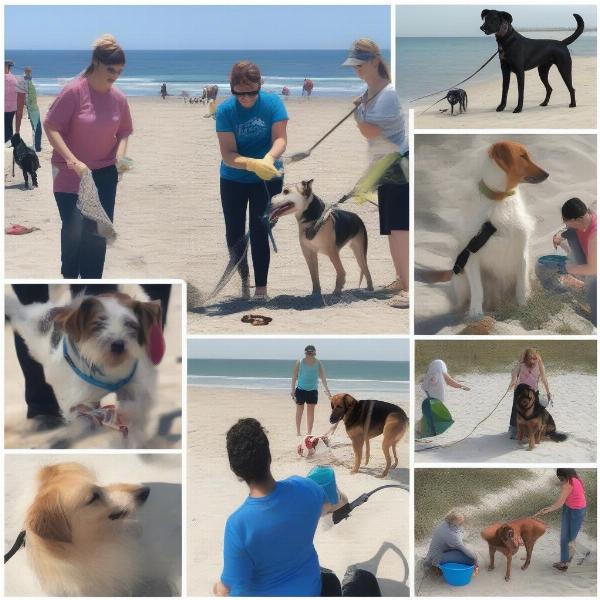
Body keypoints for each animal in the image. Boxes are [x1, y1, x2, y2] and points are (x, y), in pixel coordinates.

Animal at [5, 290, 164, 446]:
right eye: (98, 324)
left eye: (129, 324)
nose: (118, 345)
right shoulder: (77, 404)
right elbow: (82, 422)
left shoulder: (134, 387)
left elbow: (136, 408)